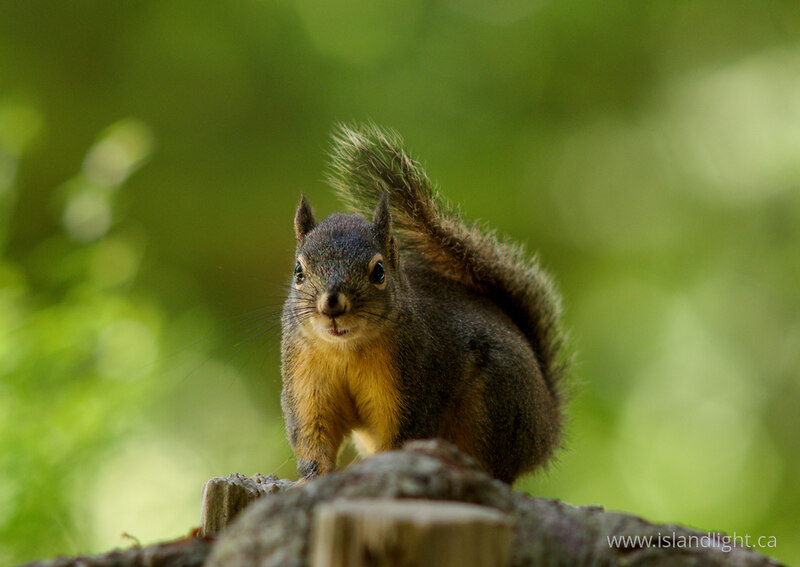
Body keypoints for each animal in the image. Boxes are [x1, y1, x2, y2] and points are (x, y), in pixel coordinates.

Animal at [280, 124, 566, 484]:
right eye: (298, 271)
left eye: (379, 271)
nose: (331, 305)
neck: (346, 349)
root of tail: (548, 426)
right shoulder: (306, 383)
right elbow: (313, 437)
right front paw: (312, 477)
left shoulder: (416, 384)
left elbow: (402, 437)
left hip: (496, 408)